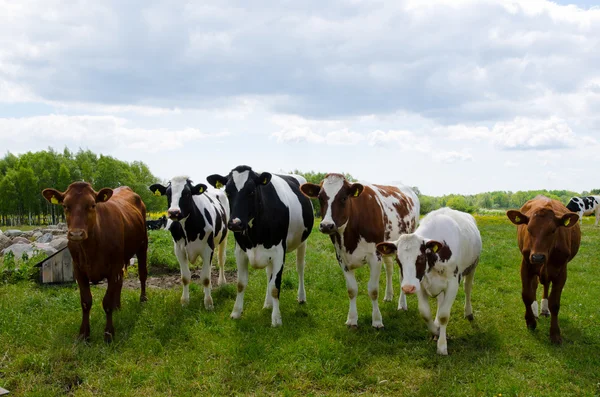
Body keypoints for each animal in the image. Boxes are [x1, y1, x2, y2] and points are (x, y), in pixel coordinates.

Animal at [42, 181, 148, 342]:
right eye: (65, 205)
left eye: (92, 205)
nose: (76, 234)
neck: (91, 248)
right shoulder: (78, 270)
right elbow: (86, 302)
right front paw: (84, 334)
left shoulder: (113, 267)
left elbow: (107, 302)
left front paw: (109, 334)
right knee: (121, 282)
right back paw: (118, 306)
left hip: (143, 245)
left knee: (142, 274)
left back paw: (142, 299)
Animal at [149, 176, 229, 310]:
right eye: (168, 193)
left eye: (186, 193)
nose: (174, 212)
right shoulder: (179, 250)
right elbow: (185, 277)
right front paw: (185, 301)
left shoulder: (208, 248)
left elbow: (205, 277)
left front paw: (208, 303)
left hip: (224, 237)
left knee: (221, 260)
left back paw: (222, 282)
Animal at [207, 166, 314, 326]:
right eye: (228, 192)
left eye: (251, 191)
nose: (235, 224)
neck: (255, 236)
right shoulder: (240, 251)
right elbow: (241, 284)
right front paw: (236, 312)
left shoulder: (279, 252)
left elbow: (275, 286)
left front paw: (276, 319)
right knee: (269, 274)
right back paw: (268, 304)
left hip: (302, 242)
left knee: (300, 267)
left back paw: (301, 297)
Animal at [376, 207, 482, 352]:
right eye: (398, 260)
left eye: (420, 258)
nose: (407, 288)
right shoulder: (420, 284)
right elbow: (425, 313)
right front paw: (436, 331)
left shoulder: (453, 284)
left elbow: (444, 315)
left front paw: (442, 346)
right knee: (440, 300)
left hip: (472, 267)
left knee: (467, 289)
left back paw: (468, 313)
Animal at [506, 195, 580, 344]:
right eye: (529, 229)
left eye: (553, 230)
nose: (538, 257)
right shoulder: (526, 265)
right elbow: (526, 295)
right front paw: (530, 321)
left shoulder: (561, 271)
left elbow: (555, 303)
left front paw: (555, 334)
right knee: (535, 285)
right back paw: (535, 311)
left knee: (546, 285)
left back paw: (544, 309)